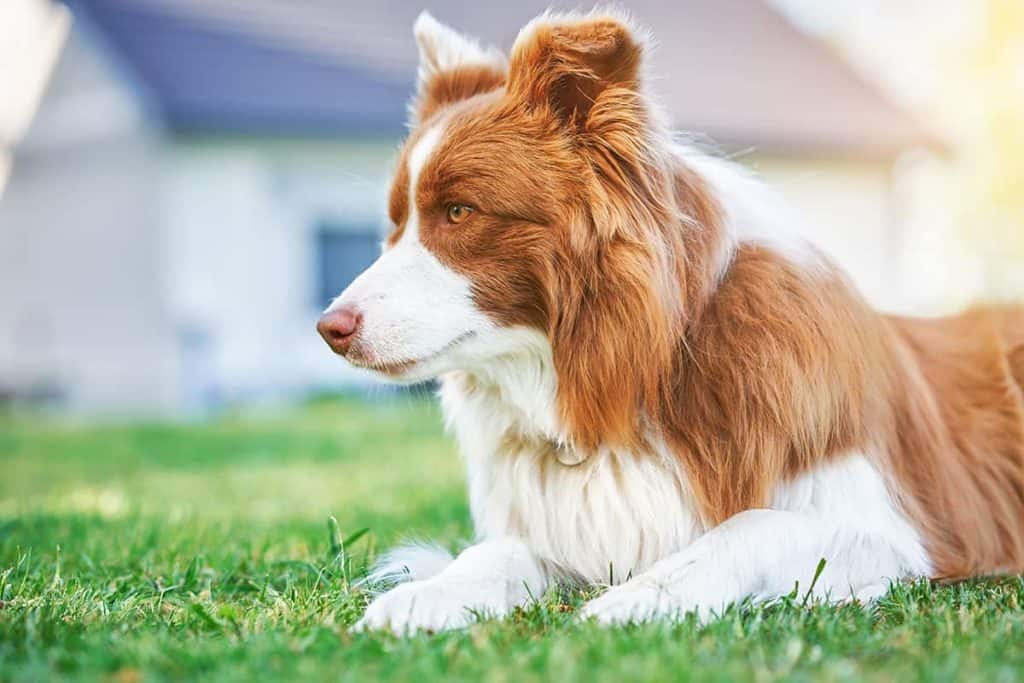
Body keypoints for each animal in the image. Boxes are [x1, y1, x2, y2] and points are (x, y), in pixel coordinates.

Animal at [315, 9, 1024, 634]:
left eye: (459, 212)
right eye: (395, 224)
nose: (329, 328)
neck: (629, 376)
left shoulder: (895, 529)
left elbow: (752, 526)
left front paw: (641, 599)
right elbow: (498, 550)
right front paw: (425, 596)